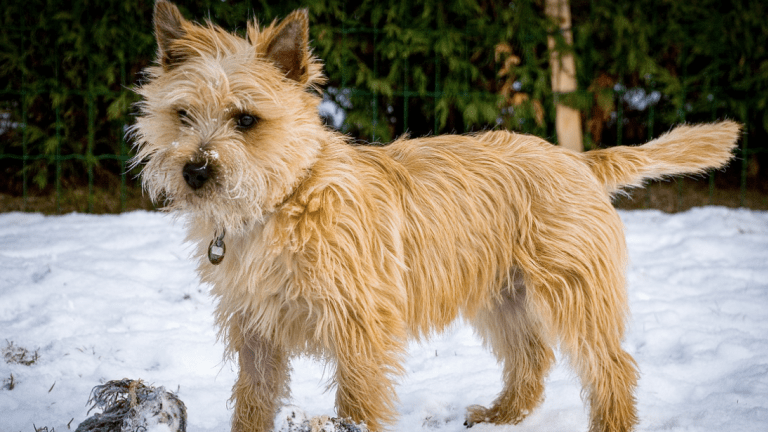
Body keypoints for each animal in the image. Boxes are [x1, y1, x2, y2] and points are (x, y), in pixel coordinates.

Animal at [130, 1, 736, 430]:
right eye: (182, 115)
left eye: (246, 120)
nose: (196, 170)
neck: (285, 200)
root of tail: (576, 158)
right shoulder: (258, 334)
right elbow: (252, 404)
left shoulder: (360, 329)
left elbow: (358, 403)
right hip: (504, 295)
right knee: (532, 360)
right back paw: (501, 416)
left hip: (573, 291)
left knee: (610, 366)